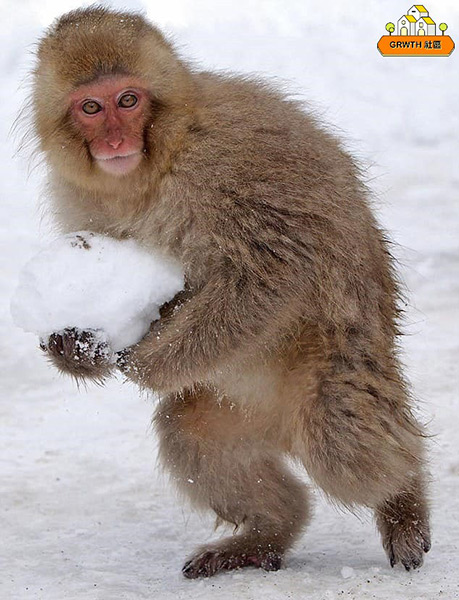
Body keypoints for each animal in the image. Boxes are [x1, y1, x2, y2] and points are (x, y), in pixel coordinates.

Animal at [31, 7, 432, 580]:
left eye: (128, 100)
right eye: (91, 107)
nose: (113, 140)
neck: (157, 167)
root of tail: (282, 428)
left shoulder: (229, 160)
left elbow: (273, 271)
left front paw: (142, 363)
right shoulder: (85, 201)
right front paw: (75, 348)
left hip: (339, 366)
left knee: (340, 441)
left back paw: (403, 501)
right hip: (231, 405)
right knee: (190, 433)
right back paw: (268, 532)